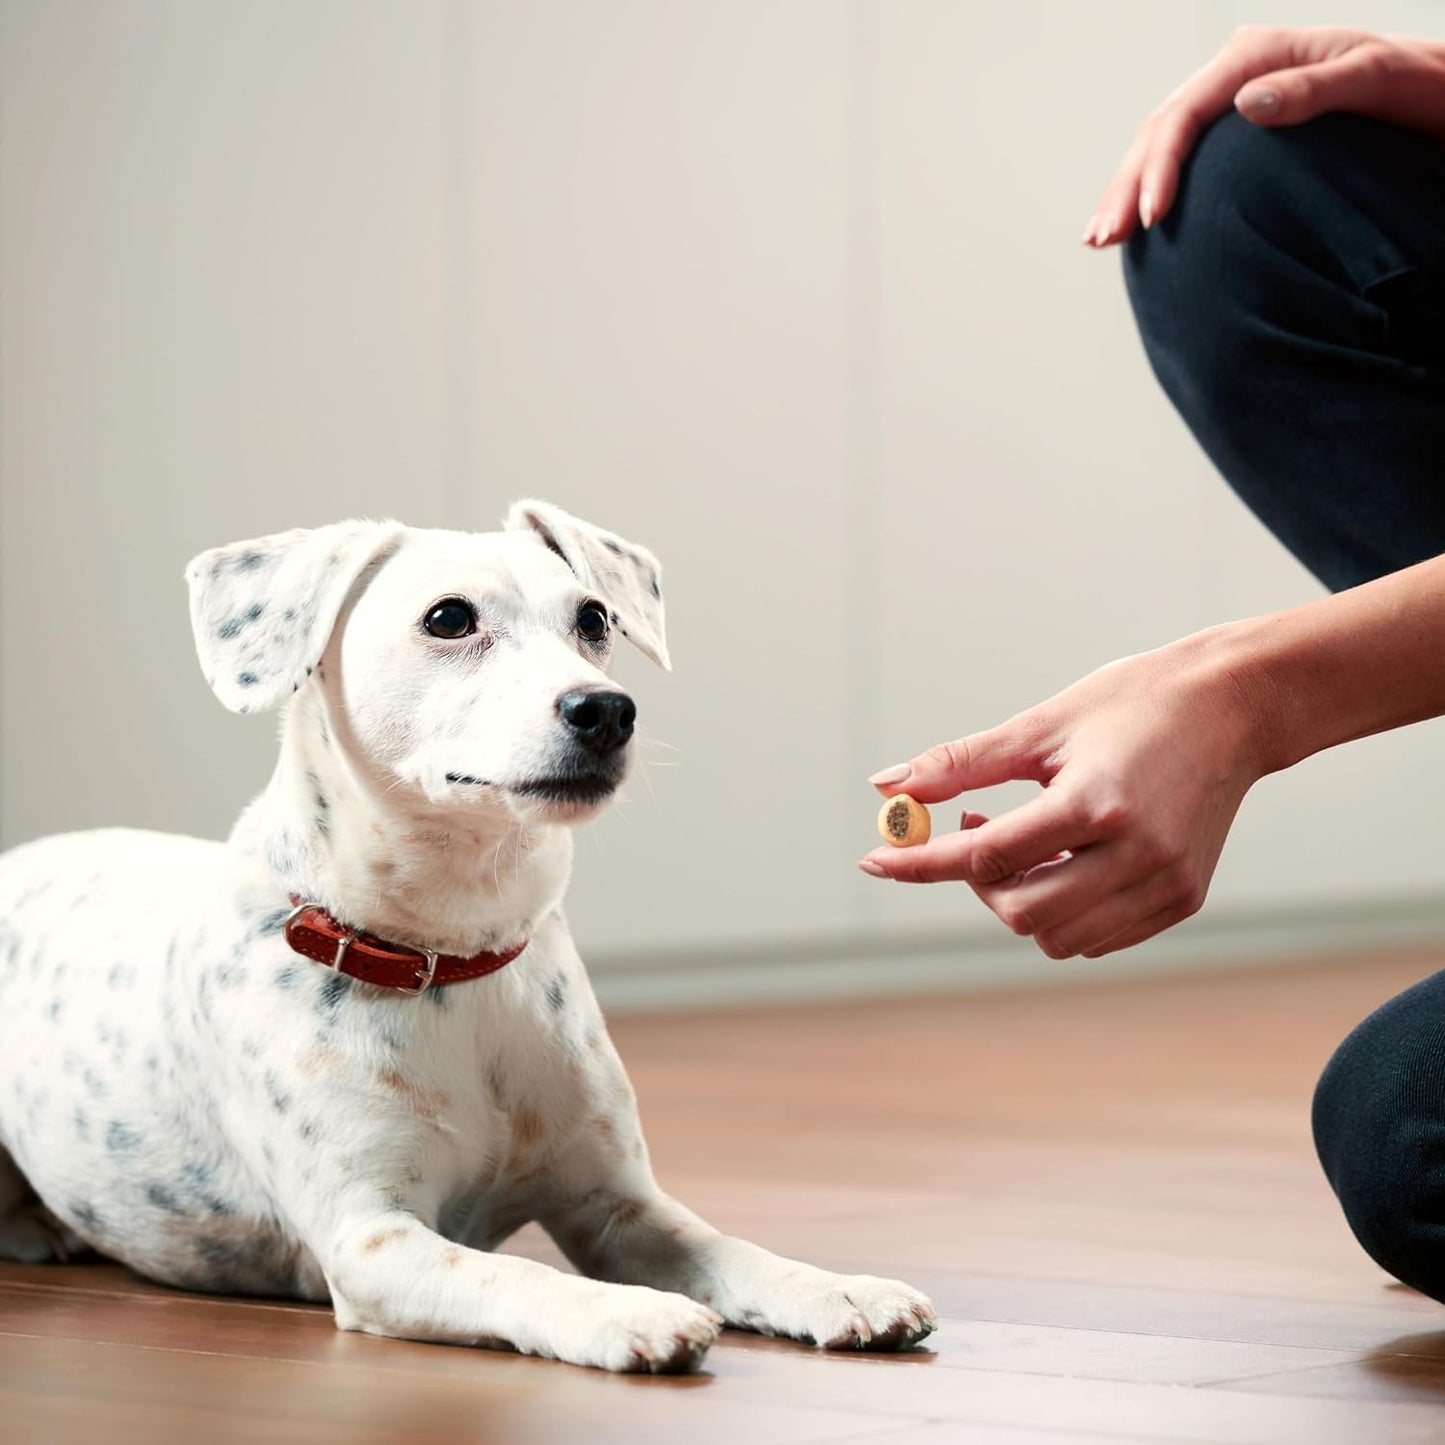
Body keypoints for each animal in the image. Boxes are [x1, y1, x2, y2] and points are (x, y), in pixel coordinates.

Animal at [0, 502, 936, 1369]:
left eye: (594, 618)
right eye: (449, 618)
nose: (607, 709)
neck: (450, 957)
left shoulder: (617, 1205)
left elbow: (732, 1249)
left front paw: (841, 1288)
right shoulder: (371, 1238)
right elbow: (517, 1273)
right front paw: (627, 1310)